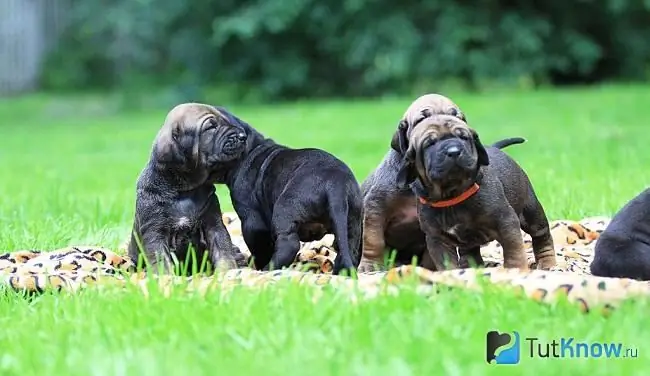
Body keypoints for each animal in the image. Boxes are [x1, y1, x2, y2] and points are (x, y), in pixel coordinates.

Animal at [126, 102, 248, 274]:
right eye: (211, 127)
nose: (243, 136)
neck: (183, 190)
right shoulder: (154, 230)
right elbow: (160, 260)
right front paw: (165, 277)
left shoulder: (214, 224)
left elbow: (223, 250)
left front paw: (227, 272)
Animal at [214, 107, 364, 274]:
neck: (250, 150)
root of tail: (335, 184)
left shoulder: (251, 220)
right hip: (352, 220)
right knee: (349, 249)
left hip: (284, 209)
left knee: (289, 244)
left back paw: (268, 269)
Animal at [392, 114, 556, 270]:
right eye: (429, 144)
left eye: (464, 137)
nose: (454, 152)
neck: (451, 195)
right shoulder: (437, 239)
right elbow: (446, 264)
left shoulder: (506, 222)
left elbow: (513, 252)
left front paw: (515, 270)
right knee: (470, 251)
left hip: (531, 213)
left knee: (541, 236)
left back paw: (547, 263)